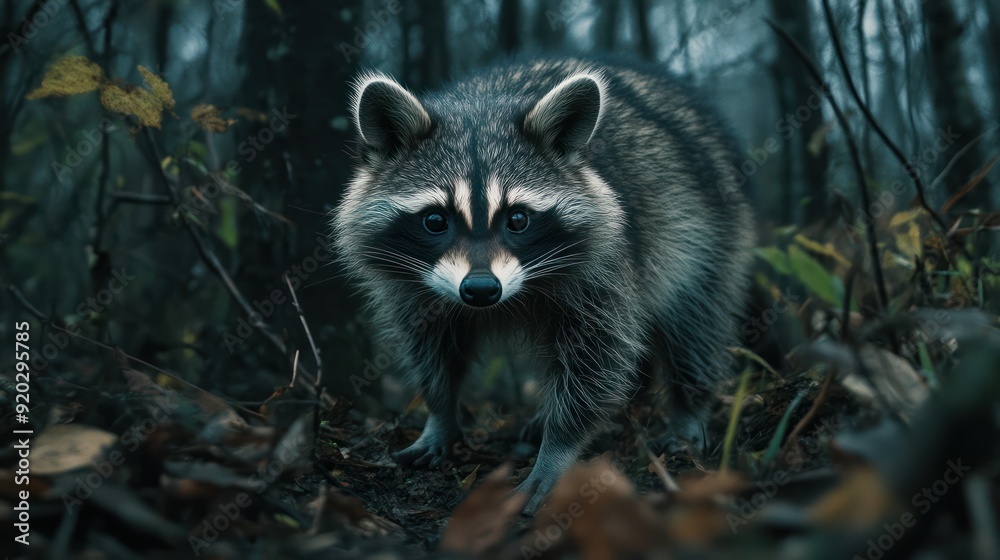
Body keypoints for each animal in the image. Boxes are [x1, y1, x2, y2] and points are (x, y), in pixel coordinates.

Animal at [333, 57, 754, 513]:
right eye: (434, 220)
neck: (481, 105)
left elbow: (598, 357)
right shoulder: (415, 286)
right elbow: (432, 349)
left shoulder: (603, 266)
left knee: (694, 319)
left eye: (518, 219)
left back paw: (688, 404)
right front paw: (440, 413)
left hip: (704, 229)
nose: (480, 289)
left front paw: (558, 447)